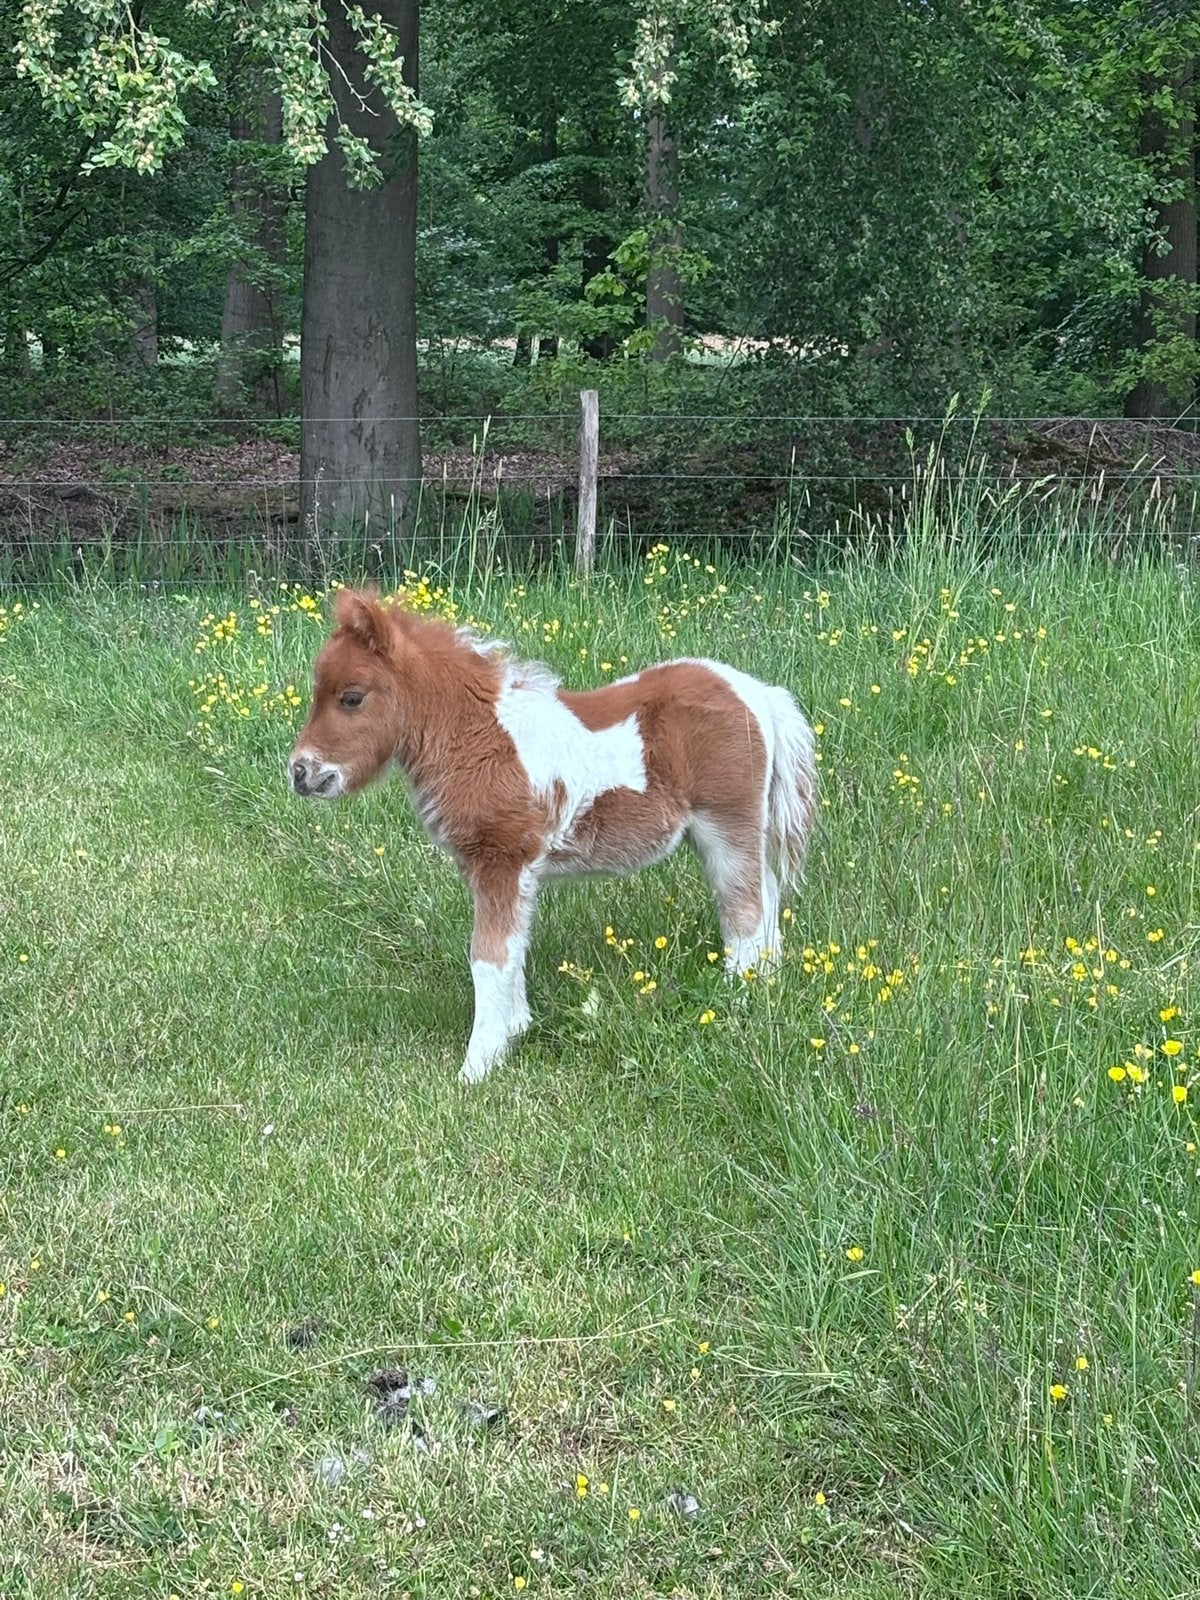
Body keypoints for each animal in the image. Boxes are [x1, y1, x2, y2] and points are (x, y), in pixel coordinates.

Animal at [289, 588, 818, 1083]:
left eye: (351, 697)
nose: (299, 772)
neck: (480, 738)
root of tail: (756, 692)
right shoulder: (505, 870)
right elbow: (514, 947)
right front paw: (515, 1031)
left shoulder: (501, 859)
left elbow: (489, 956)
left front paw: (477, 1067)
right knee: (767, 901)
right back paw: (767, 988)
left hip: (727, 827)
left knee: (745, 913)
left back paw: (738, 1002)